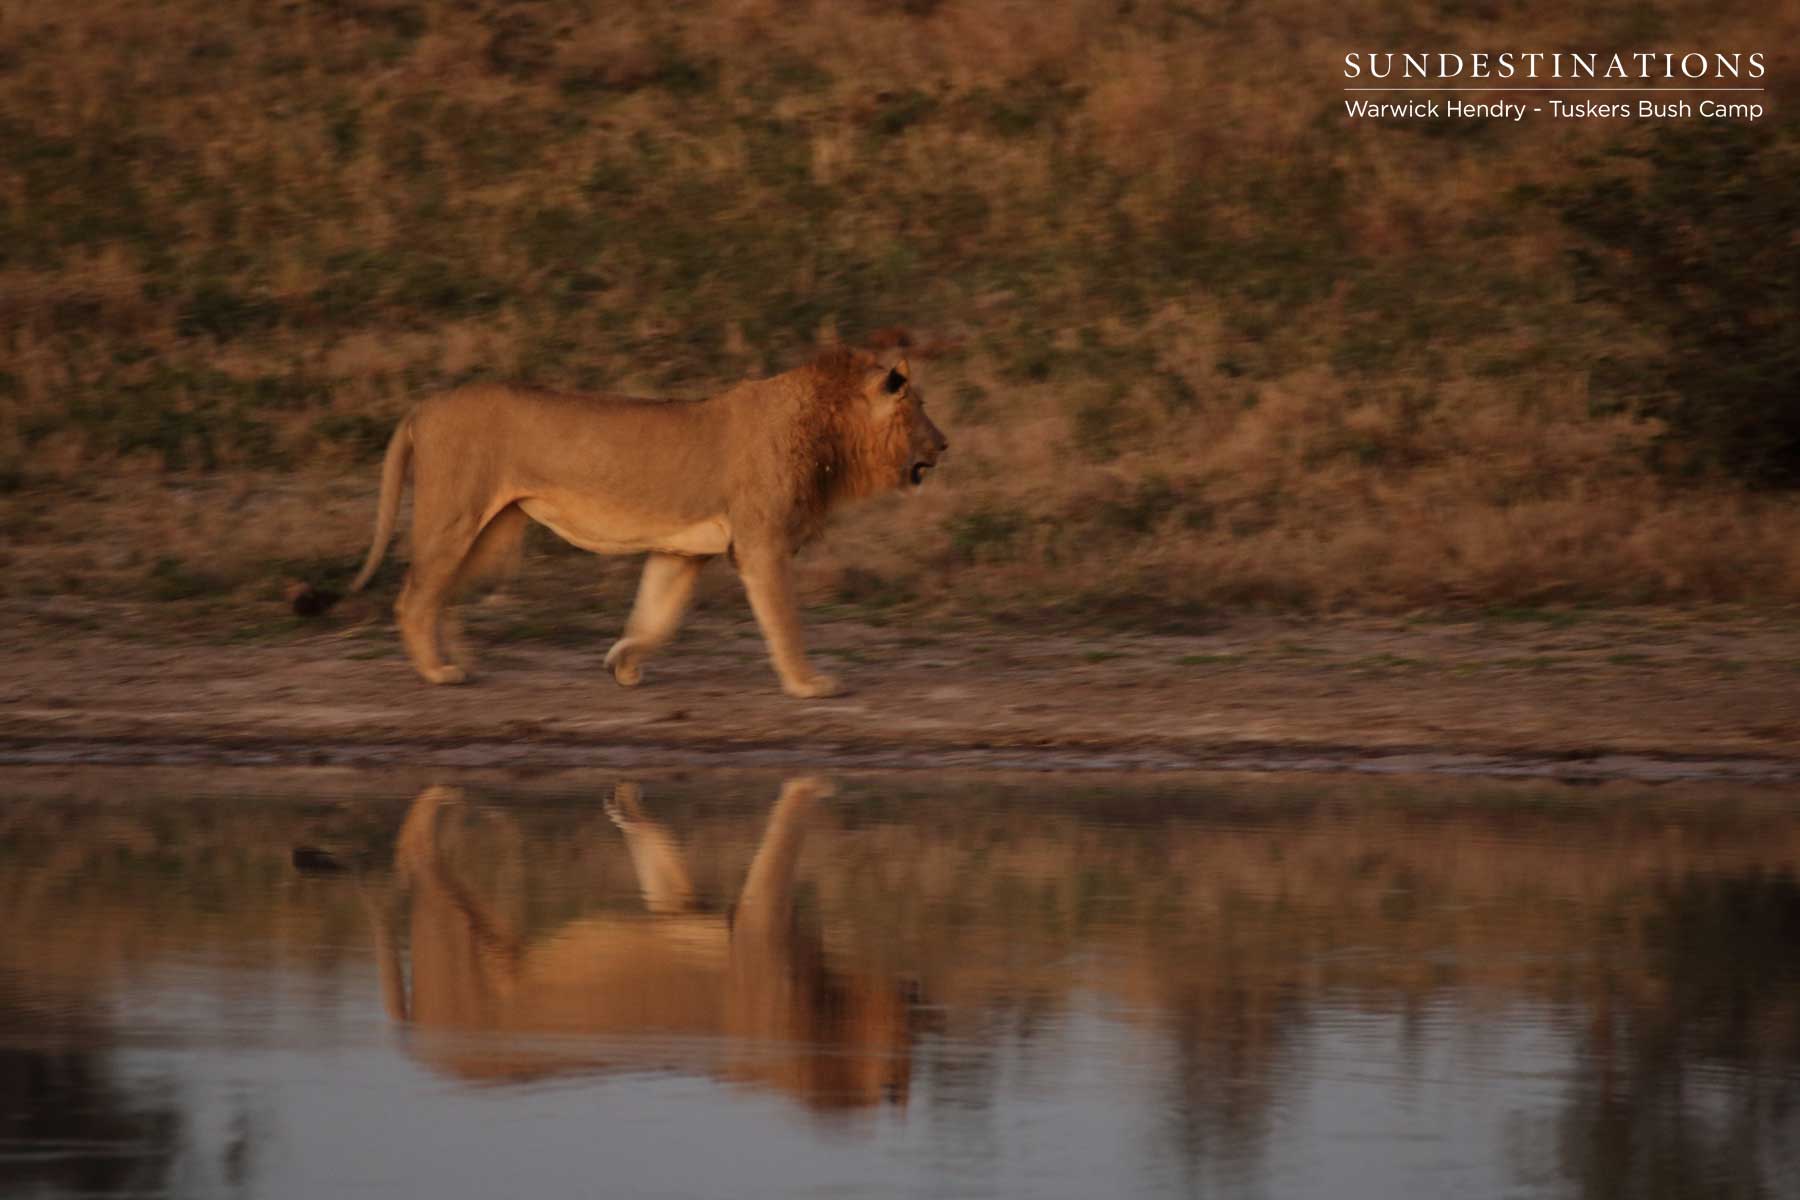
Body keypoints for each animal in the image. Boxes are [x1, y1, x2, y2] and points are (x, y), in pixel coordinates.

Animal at [303, 348, 947, 697]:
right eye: (918, 409)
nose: (945, 444)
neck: (828, 430)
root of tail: (423, 406)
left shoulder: (682, 551)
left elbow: (657, 615)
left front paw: (623, 662)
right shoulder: (761, 544)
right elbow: (784, 622)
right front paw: (809, 684)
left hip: (491, 535)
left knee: (442, 595)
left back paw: (459, 661)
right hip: (455, 515)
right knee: (414, 597)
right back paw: (438, 673)